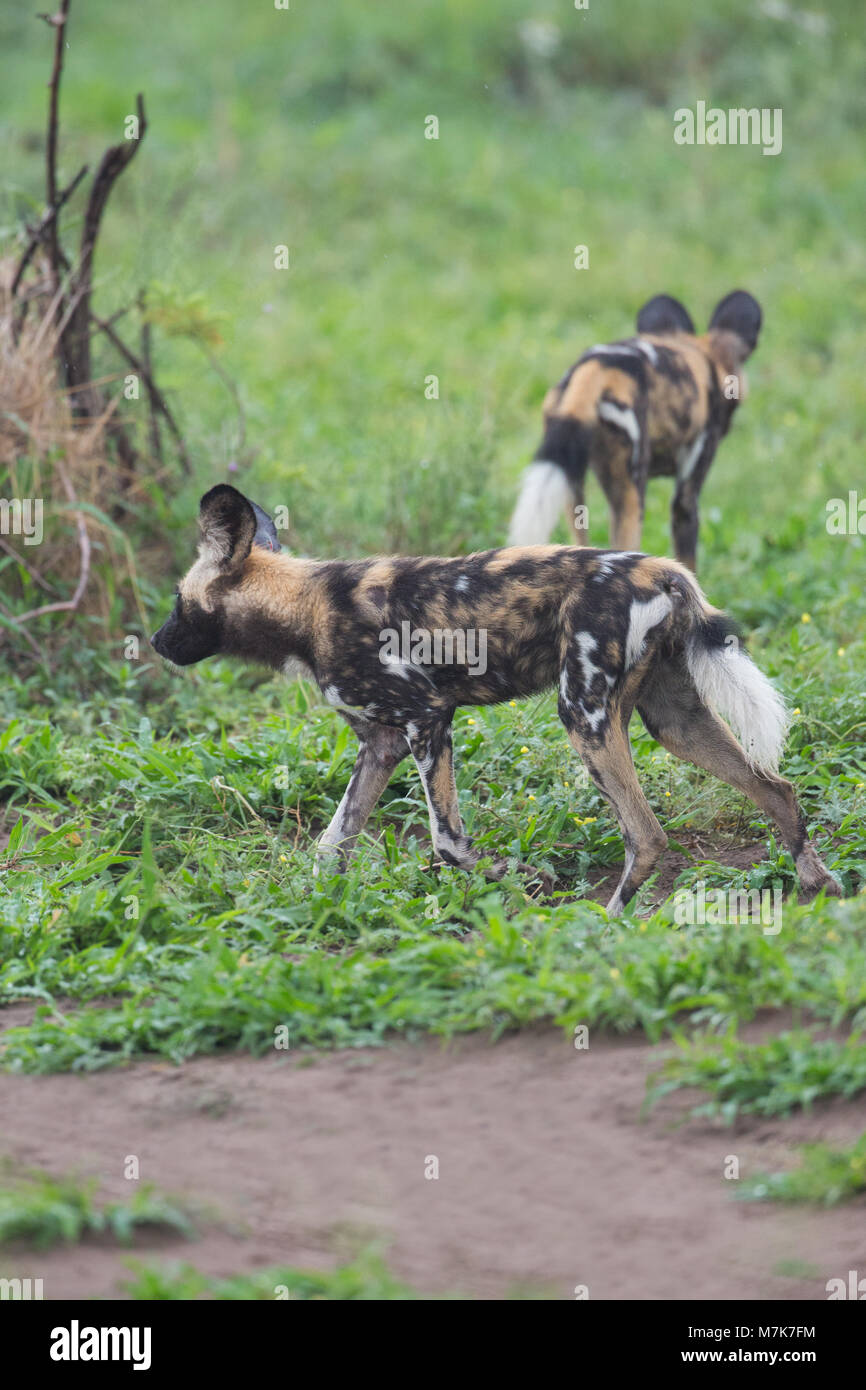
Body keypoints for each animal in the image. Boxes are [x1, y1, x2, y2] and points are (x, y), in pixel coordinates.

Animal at [148, 483, 839, 917]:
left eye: (177, 603)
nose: (154, 642)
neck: (305, 608)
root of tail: (665, 571)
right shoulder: (382, 744)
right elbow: (332, 844)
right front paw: (315, 906)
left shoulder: (427, 718)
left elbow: (448, 843)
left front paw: (525, 881)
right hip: (673, 720)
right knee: (775, 788)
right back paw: (817, 884)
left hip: (583, 716)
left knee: (647, 836)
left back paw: (606, 923)